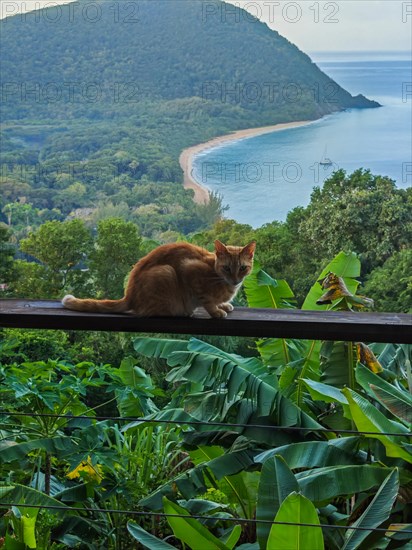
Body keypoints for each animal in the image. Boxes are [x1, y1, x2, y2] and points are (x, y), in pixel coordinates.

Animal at [62, 242, 254, 320]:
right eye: (227, 268)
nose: (235, 279)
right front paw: (216, 311)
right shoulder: (190, 269)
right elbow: (207, 301)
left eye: (243, 268)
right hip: (166, 272)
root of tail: (129, 295)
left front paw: (224, 305)